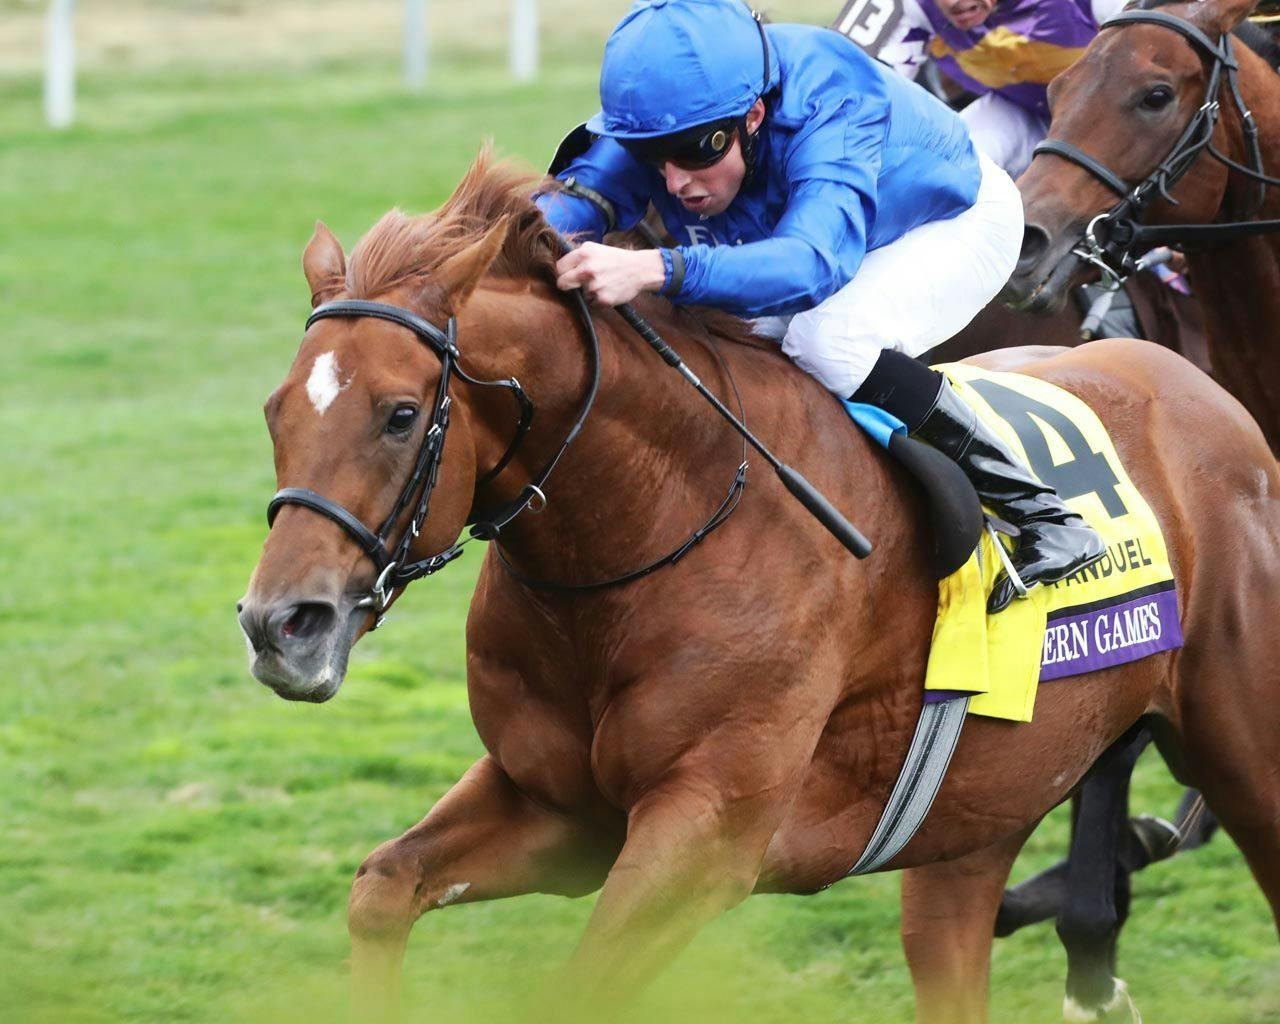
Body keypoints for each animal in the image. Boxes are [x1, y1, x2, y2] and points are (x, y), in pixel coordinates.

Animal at [237, 155, 1280, 1024]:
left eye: (399, 414)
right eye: (275, 409)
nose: (281, 626)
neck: (653, 528)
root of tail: (1206, 395)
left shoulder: (704, 839)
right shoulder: (559, 808)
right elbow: (382, 888)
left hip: (1242, 751)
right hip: (971, 827)